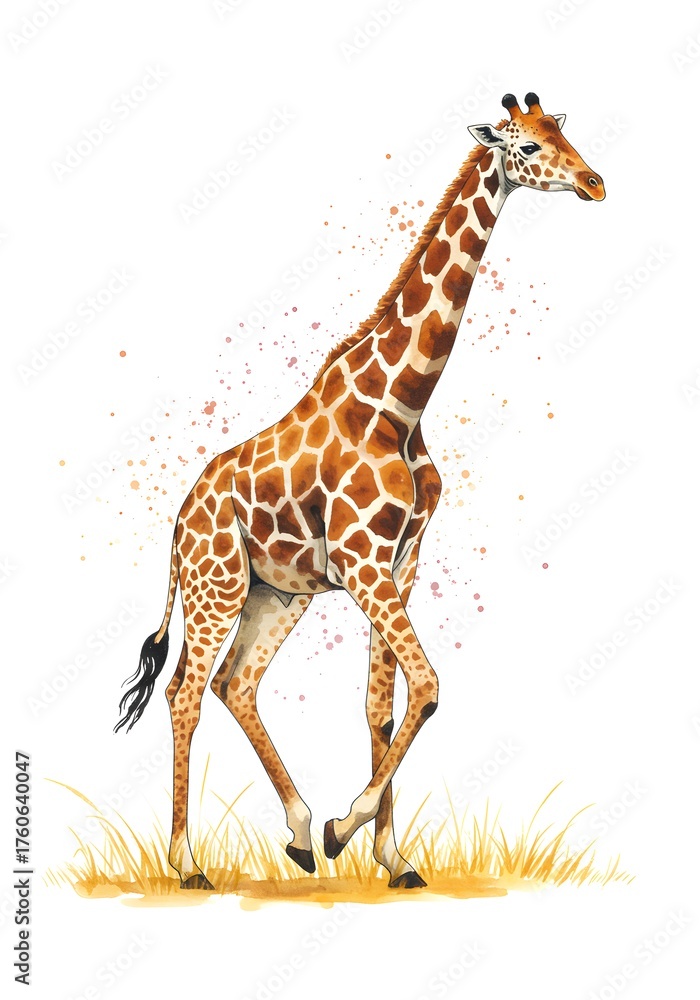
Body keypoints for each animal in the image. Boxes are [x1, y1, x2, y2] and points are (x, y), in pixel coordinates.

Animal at [116, 93, 605, 890]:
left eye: (563, 130)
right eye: (527, 147)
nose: (595, 183)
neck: (398, 405)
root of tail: (179, 522)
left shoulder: (398, 564)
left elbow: (383, 705)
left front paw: (392, 858)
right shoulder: (364, 563)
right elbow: (429, 687)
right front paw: (348, 828)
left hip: (274, 594)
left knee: (233, 684)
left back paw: (295, 834)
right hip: (217, 585)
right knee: (185, 692)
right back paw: (190, 864)